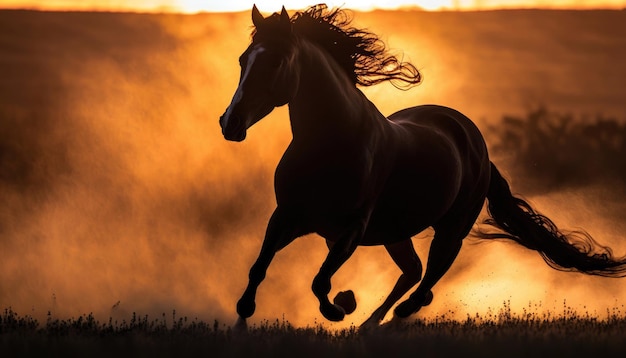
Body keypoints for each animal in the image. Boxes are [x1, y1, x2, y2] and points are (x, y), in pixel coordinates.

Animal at [217, 4, 620, 330]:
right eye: (242, 60)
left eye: (276, 61)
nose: (230, 123)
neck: (331, 143)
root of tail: (480, 150)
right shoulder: (287, 217)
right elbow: (259, 268)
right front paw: (244, 317)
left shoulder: (349, 230)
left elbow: (320, 282)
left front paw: (340, 307)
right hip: (396, 232)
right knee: (412, 272)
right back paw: (371, 323)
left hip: (451, 230)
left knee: (427, 282)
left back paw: (391, 316)